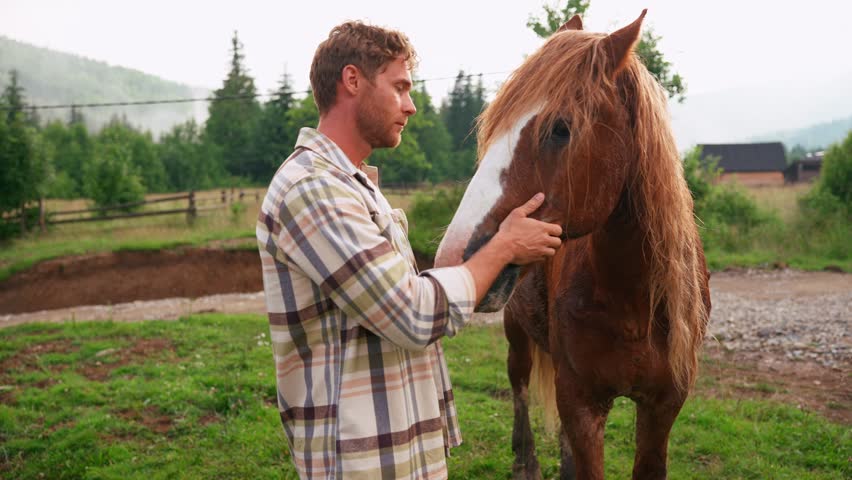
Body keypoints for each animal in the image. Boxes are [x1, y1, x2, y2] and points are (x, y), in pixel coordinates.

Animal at [434, 11, 711, 480]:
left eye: (561, 129)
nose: (453, 259)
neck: (633, 302)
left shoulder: (662, 409)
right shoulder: (581, 401)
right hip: (517, 335)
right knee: (519, 385)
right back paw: (525, 461)